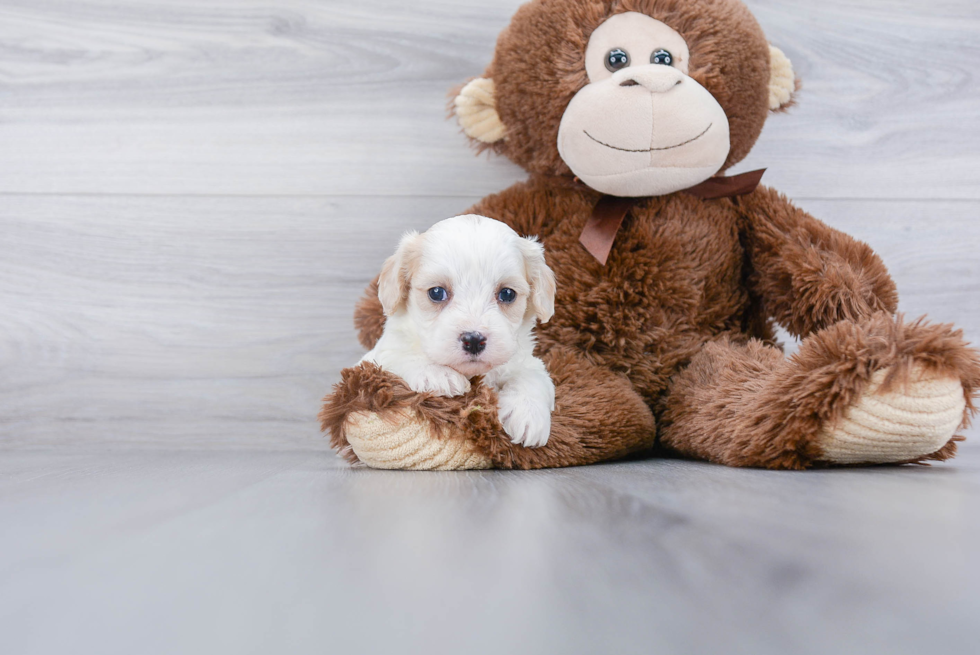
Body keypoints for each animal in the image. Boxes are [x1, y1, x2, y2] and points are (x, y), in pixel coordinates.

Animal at [360, 215, 560, 452]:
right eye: (436, 293)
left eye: (507, 294)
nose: (473, 340)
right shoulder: (380, 356)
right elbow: (400, 356)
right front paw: (438, 374)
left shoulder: (527, 361)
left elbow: (533, 376)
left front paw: (528, 413)